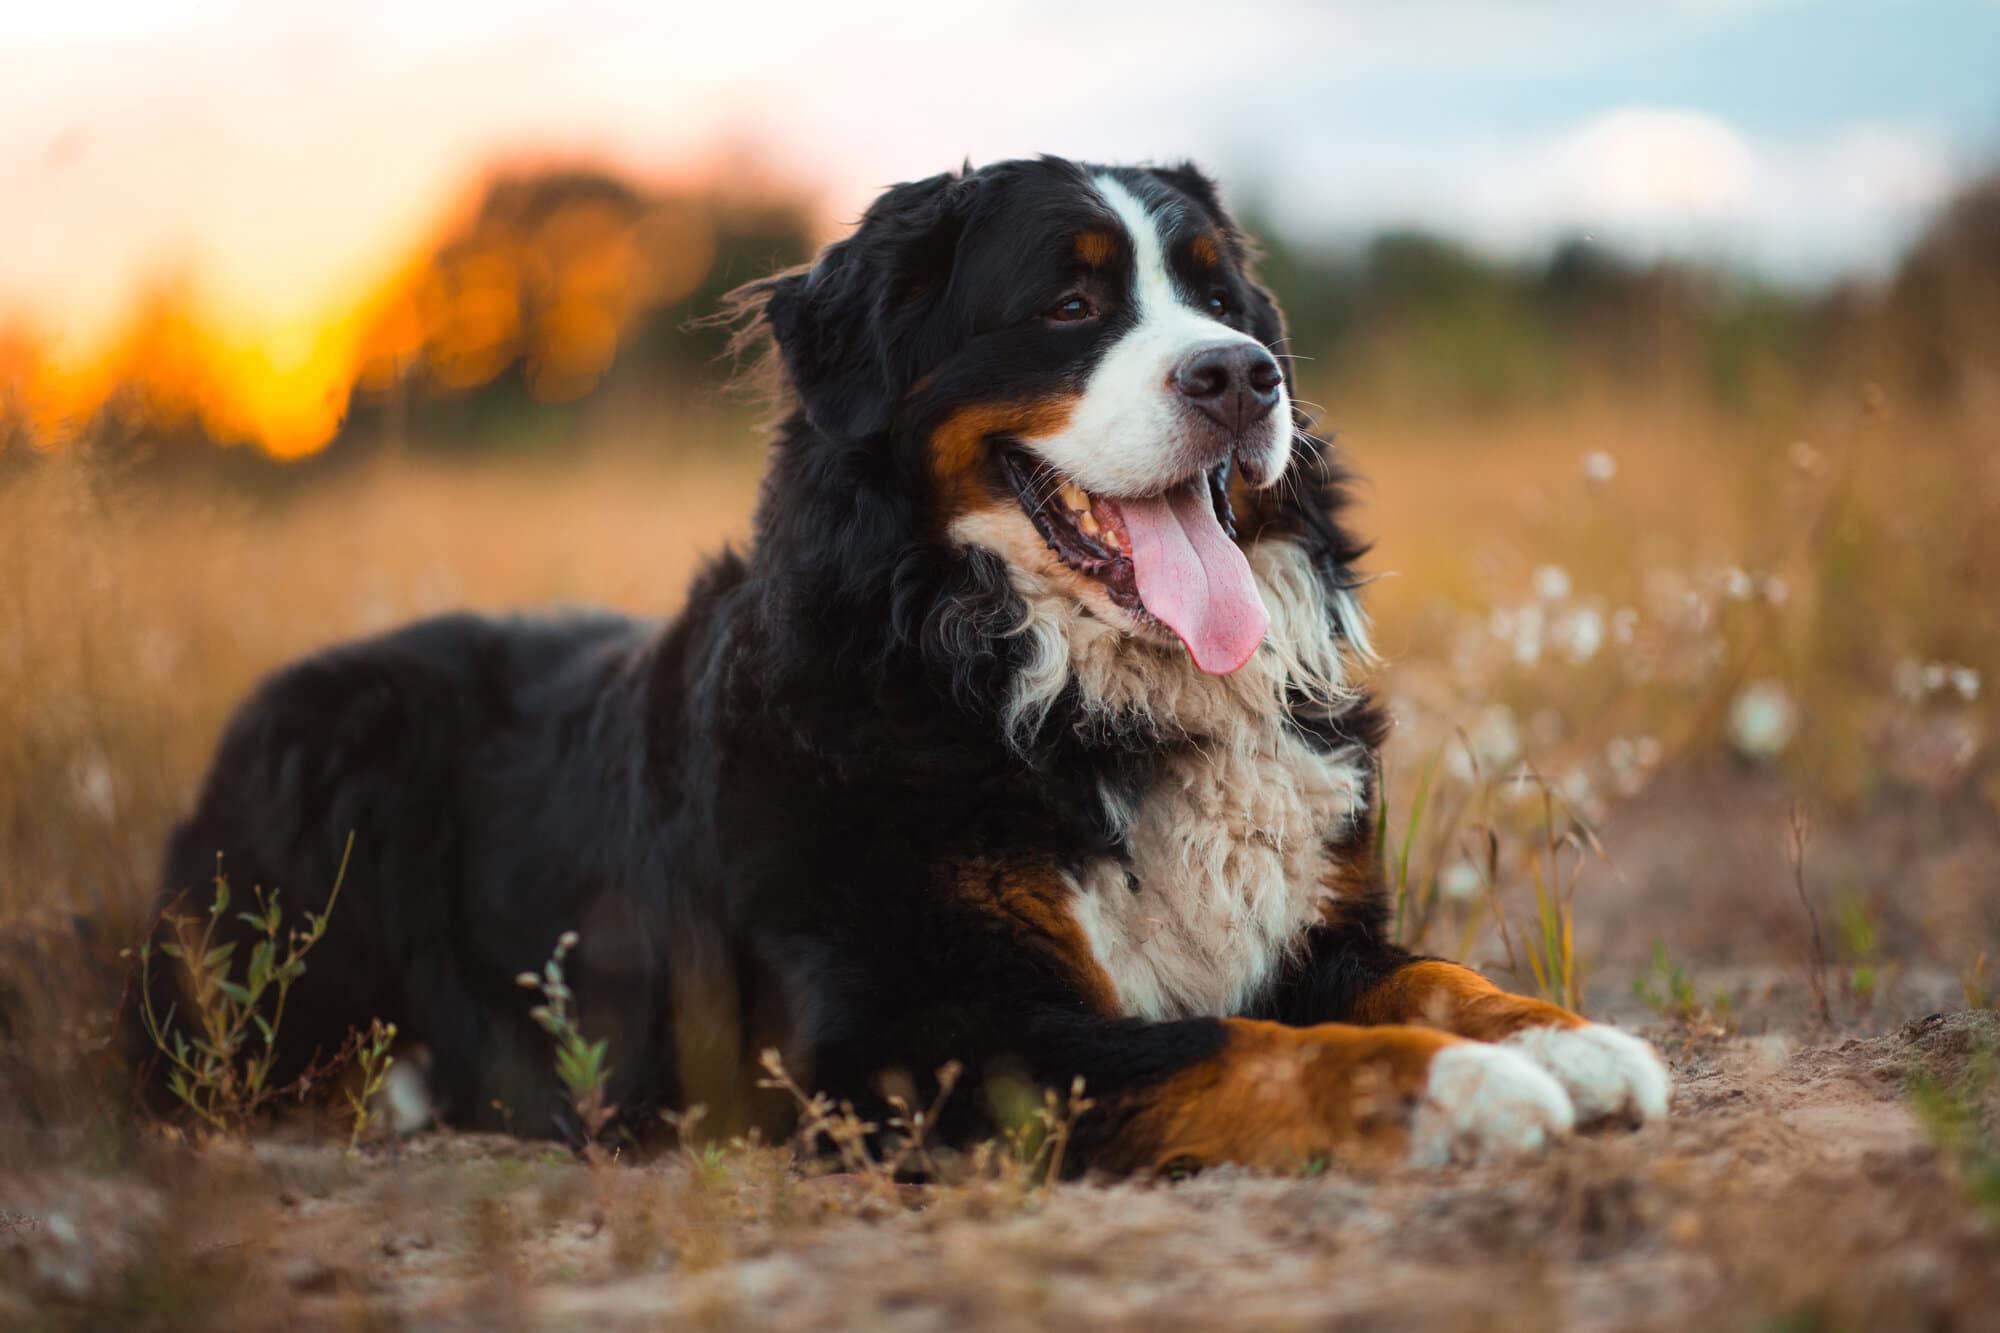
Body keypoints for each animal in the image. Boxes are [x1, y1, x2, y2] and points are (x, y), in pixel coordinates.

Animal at [145, 156, 1672, 1168]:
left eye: (1224, 297)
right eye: (1069, 306)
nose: (1243, 375)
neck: (1064, 694)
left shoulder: (1312, 925)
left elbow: (1435, 973)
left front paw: (1560, 1037)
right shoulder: (906, 1033)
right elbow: (1246, 1046)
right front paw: (1456, 1091)